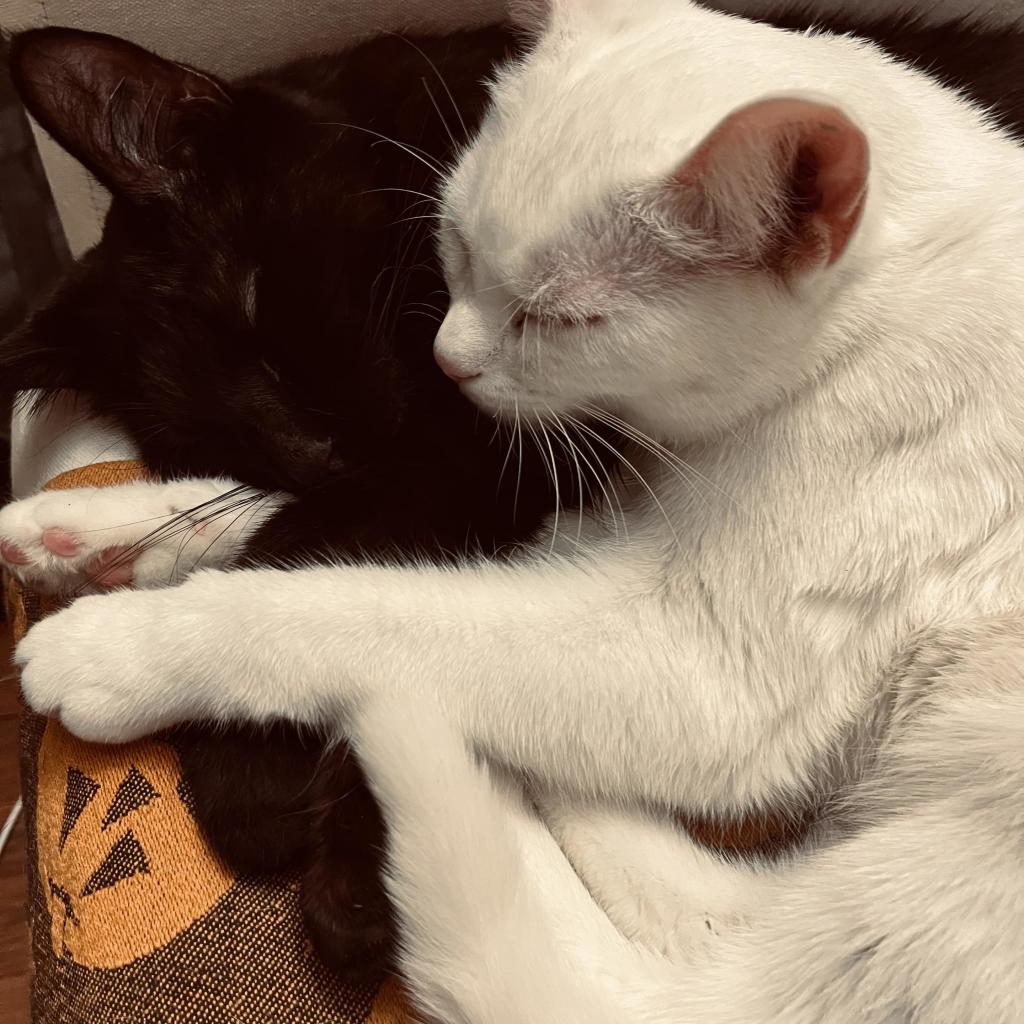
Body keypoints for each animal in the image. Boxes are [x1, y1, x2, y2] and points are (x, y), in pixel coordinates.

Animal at [6, 0, 1024, 1019]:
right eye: (450, 242)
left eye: (262, 302)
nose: (449, 362)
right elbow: (290, 527)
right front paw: (88, 536)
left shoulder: (690, 650)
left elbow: (345, 599)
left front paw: (130, 659)